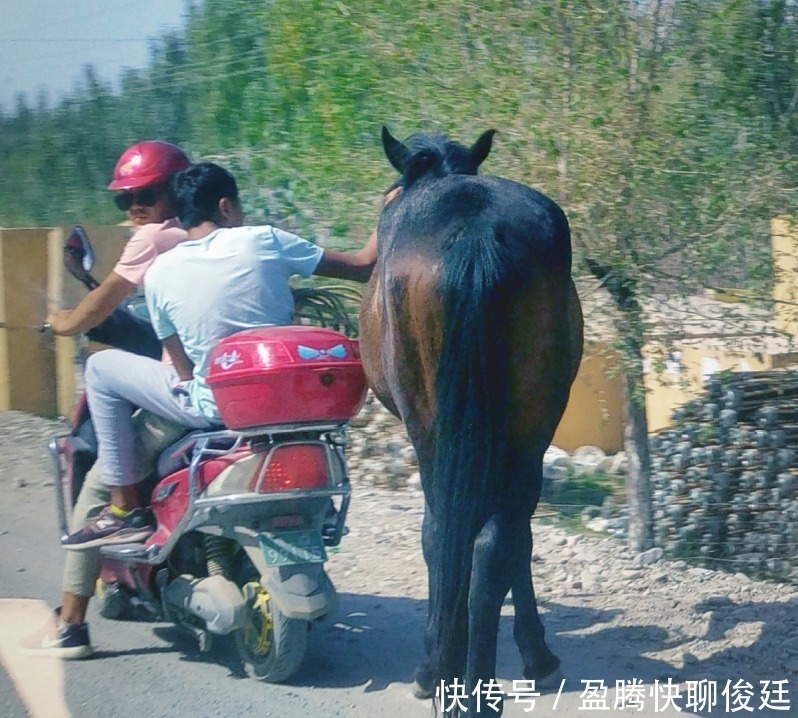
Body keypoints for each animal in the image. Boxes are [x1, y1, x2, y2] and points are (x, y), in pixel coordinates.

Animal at [360, 126, 584, 716]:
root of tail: (476, 229)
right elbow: (516, 542)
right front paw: (536, 655)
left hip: (431, 429)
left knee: (444, 533)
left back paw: (442, 675)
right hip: (531, 426)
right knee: (497, 541)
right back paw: (478, 685)